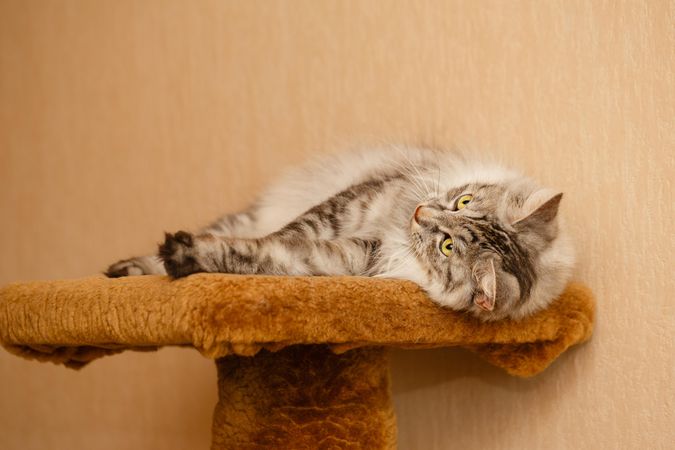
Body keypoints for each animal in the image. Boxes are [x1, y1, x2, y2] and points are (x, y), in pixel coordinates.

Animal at [107, 147, 576, 320]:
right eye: (462, 201)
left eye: (446, 247)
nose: (420, 212)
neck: (394, 231)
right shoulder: (352, 203)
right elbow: (287, 231)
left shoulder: (357, 255)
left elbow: (269, 254)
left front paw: (192, 259)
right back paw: (122, 271)